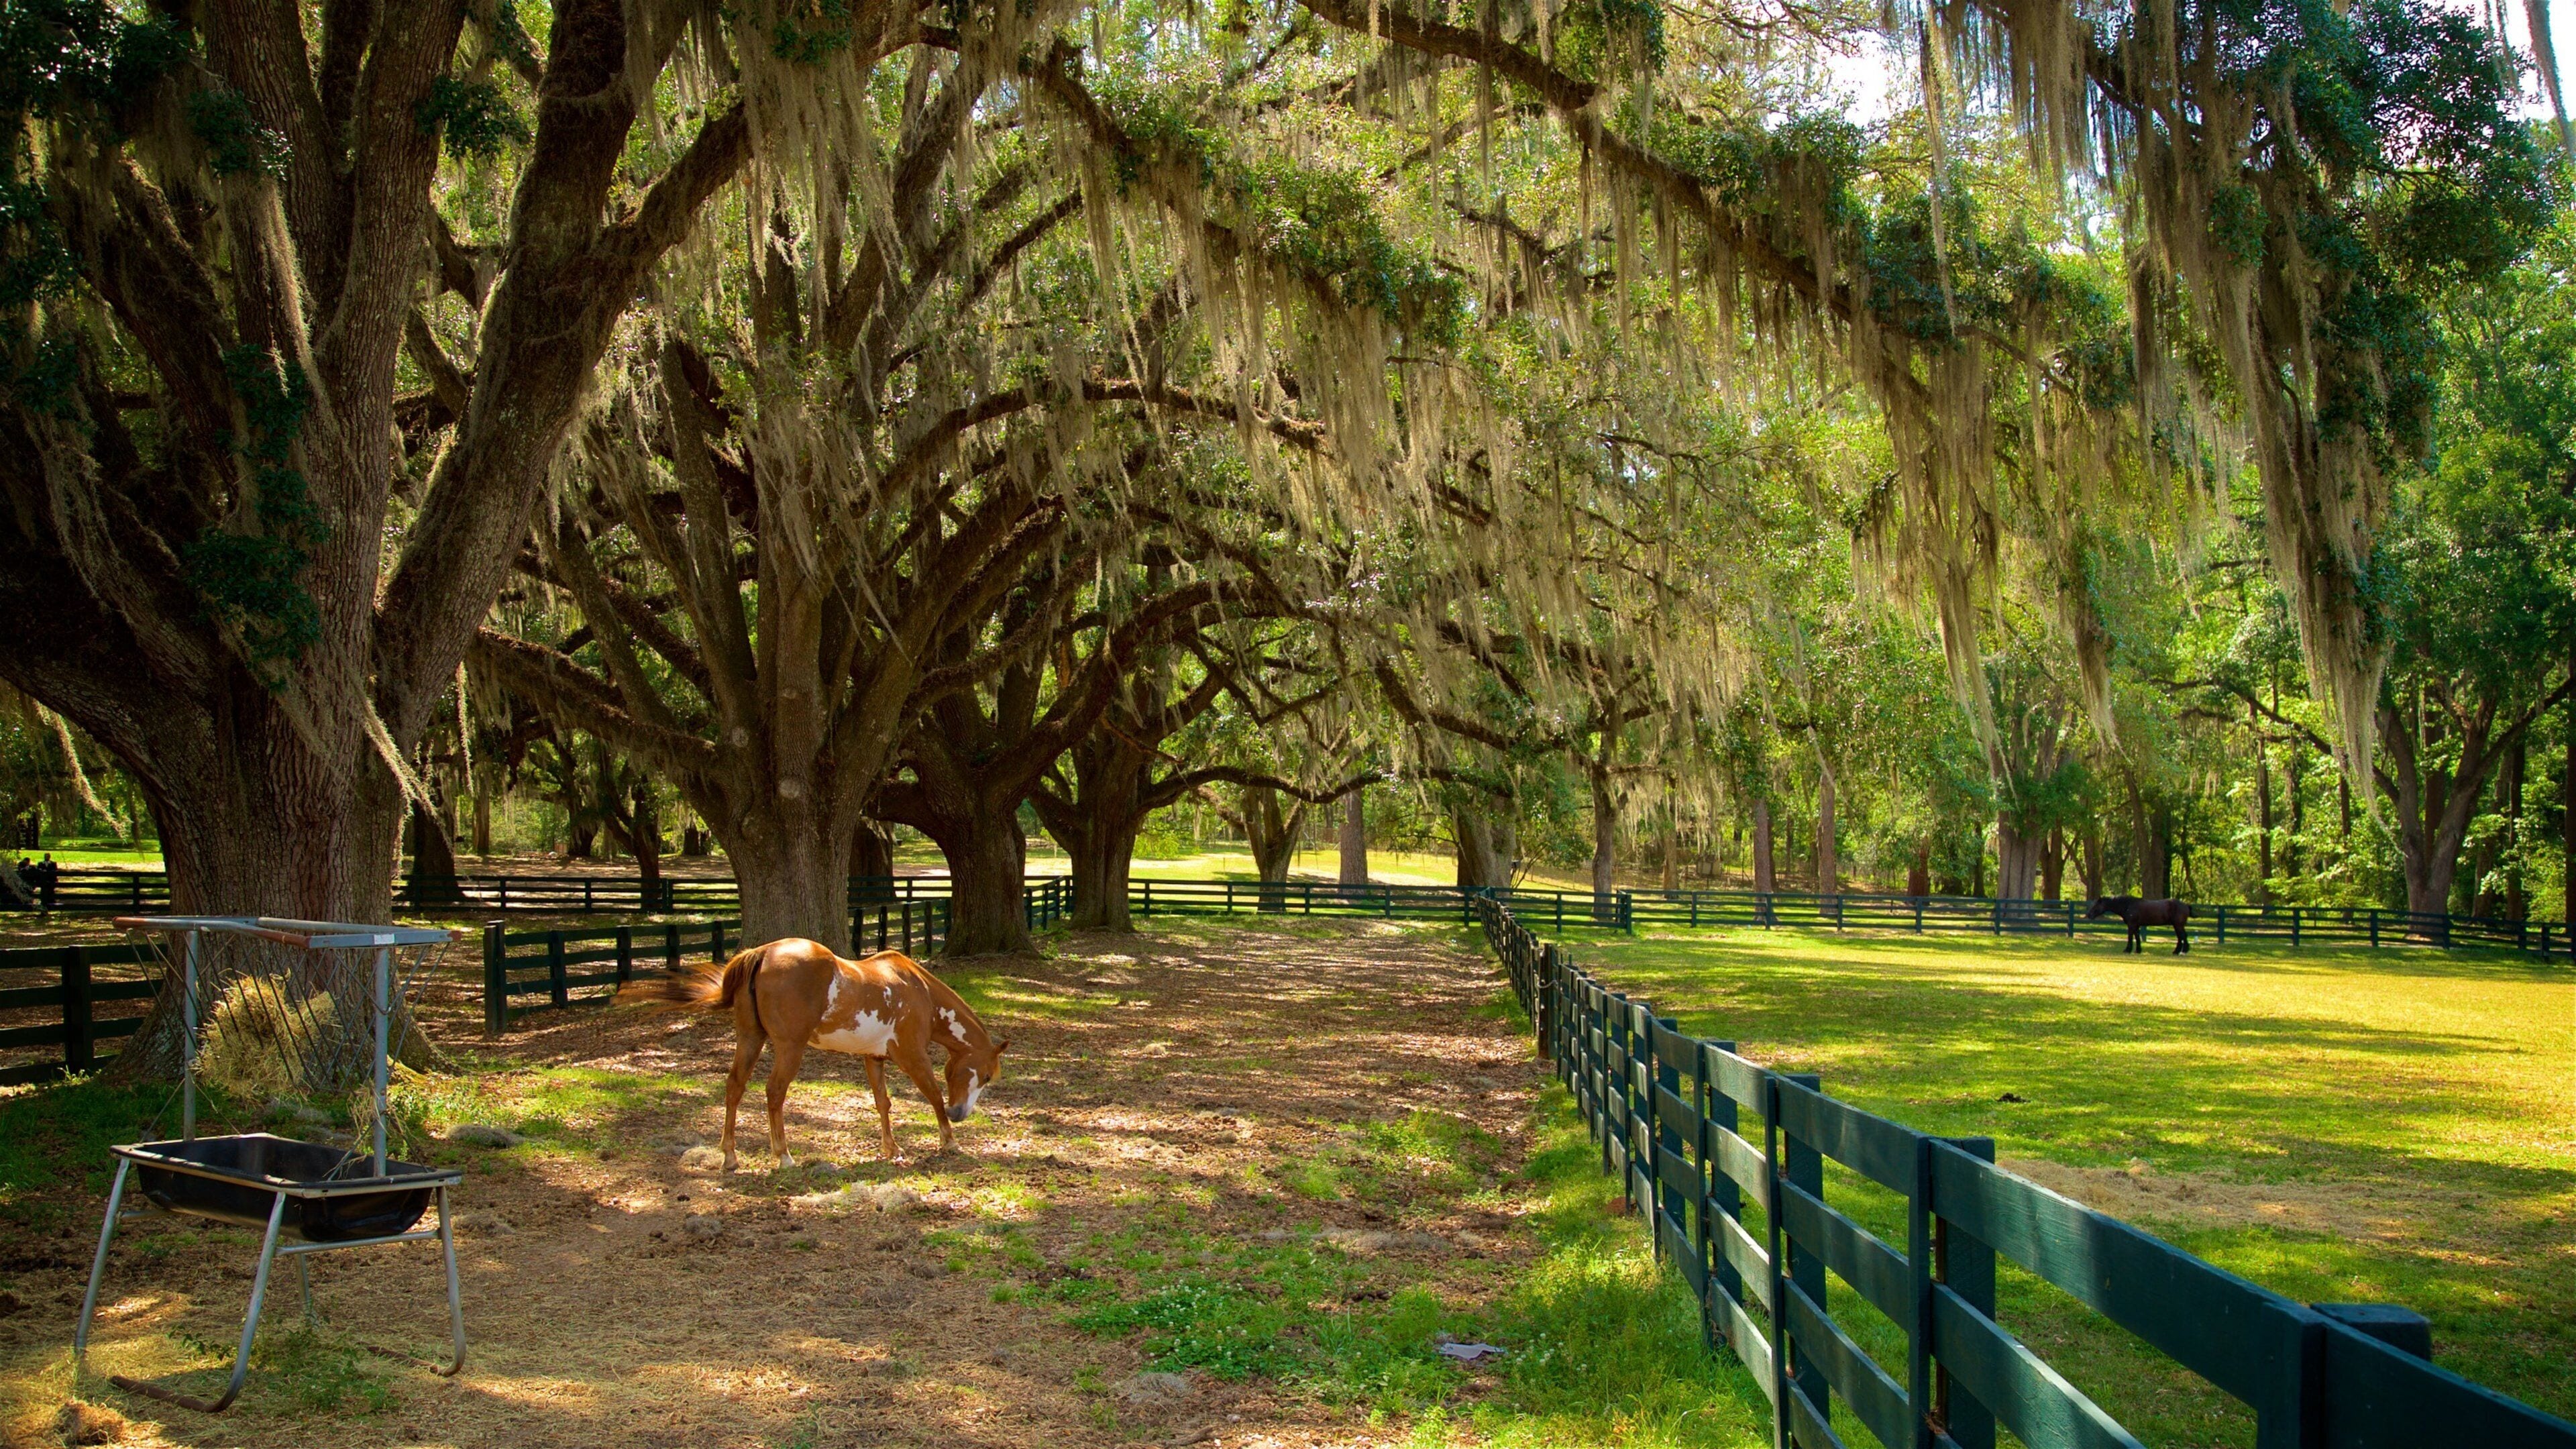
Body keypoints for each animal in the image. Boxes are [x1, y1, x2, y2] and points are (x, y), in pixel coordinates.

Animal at [622, 941, 1007, 1170]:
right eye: (986, 1075)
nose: (961, 1114)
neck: (918, 991)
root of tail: (762, 954)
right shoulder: (911, 1055)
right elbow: (933, 1095)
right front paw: (949, 1141)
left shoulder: (874, 1058)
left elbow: (883, 1103)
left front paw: (892, 1148)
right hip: (789, 1048)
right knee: (774, 1092)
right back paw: (784, 1156)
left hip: (750, 1040)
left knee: (735, 1087)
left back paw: (730, 1156)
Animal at [2086, 896, 2193, 955]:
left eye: (2096, 905)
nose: (2089, 915)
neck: (2128, 905)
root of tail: (2186, 905)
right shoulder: (2136, 926)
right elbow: (2137, 937)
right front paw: (2138, 950)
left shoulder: (2131, 925)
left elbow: (2130, 937)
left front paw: (2127, 950)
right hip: (2177, 926)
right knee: (2181, 937)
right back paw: (2177, 951)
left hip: (2178, 925)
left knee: (2182, 936)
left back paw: (2182, 951)